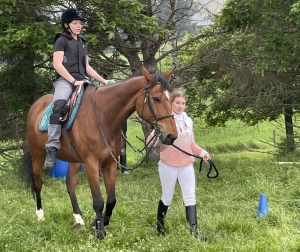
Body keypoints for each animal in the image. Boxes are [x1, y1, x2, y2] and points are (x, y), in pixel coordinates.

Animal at [18, 66, 178, 240]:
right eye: (156, 98)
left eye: (171, 99)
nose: (171, 136)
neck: (103, 116)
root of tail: (36, 106)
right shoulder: (92, 164)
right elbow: (98, 201)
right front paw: (100, 232)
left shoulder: (110, 163)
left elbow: (111, 199)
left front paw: (100, 222)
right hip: (38, 155)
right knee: (38, 184)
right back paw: (40, 215)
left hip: (73, 160)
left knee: (70, 184)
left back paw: (78, 219)